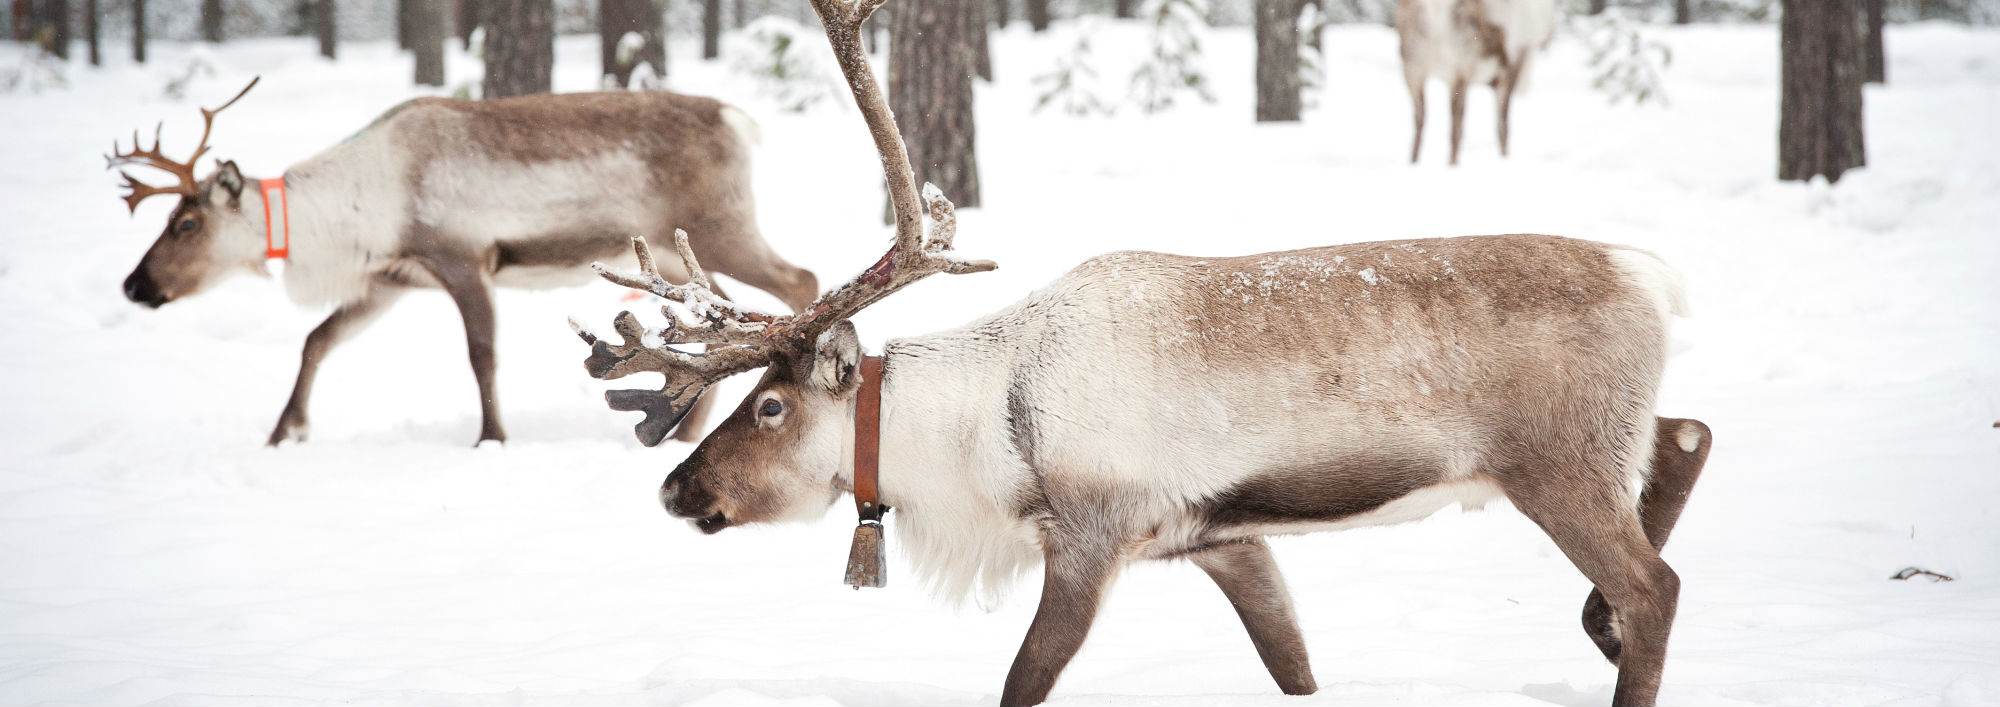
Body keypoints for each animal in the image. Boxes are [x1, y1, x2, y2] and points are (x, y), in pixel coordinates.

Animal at [106, 78, 819, 447]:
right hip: (672, 252)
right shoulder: (389, 282)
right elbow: (317, 340)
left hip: (720, 227)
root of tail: (738, 120)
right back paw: (685, 428)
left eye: (187, 223)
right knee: (718, 314)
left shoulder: (462, 260)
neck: (358, 210)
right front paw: (286, 433)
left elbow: (481, 355)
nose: (134, 285)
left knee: (799, 278)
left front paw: (490, 438)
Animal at [1395, 0, 1557, 165]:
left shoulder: (1459, 71)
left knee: (1503, 124)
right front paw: (1413, 162)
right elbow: (1419, 122)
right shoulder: (1413, 71)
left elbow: (1455, 128)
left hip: (1511, 67)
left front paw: (1452, 164)